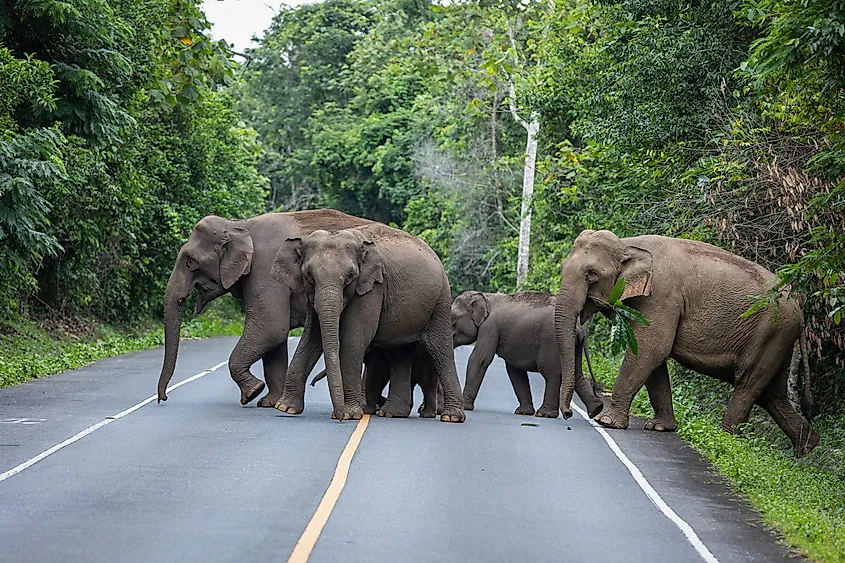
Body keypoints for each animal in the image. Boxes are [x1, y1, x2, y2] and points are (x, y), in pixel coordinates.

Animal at [156, 210, 371, 408]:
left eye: (190, 262)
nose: (162, 399)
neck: (240, 225)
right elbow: (276, 338)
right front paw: (269, 402)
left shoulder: (265, 270)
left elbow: (270, 327)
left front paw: (252, 393)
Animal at [271, 224, 465, 422]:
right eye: (309, 275)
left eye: (350, 276)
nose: (338, 418)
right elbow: (312, 337)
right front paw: (286, 408)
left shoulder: (373, 288)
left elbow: (354, 338)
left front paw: (350, 414)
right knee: (401, 354)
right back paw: (392, 413)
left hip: (441, 300)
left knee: (439, 349)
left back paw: (451, 417)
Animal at [452, 290, 604, 418]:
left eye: (453, 319)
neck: (486, 297)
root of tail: (579, 327)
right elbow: (514, 370)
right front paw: (523, 412)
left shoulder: (490, 327)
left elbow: (480, 359)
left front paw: (465, 406)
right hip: (574, 345)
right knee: (576, 374)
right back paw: (596, 410)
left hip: (553, 342)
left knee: (551, 373)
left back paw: (545, 414)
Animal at [554, 229, 818, 458]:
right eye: (563, 269)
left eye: (592, 275)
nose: (567, 414)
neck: (628, 244)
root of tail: (799, 307)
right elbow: (652, 357)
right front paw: (660, 427)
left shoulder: (661, 296)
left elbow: (651, 349)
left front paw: (607, 421)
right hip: (780, 340)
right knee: (772, 394)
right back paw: (806, 447)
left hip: (772, 332)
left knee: (748, 383)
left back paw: (725, 440)